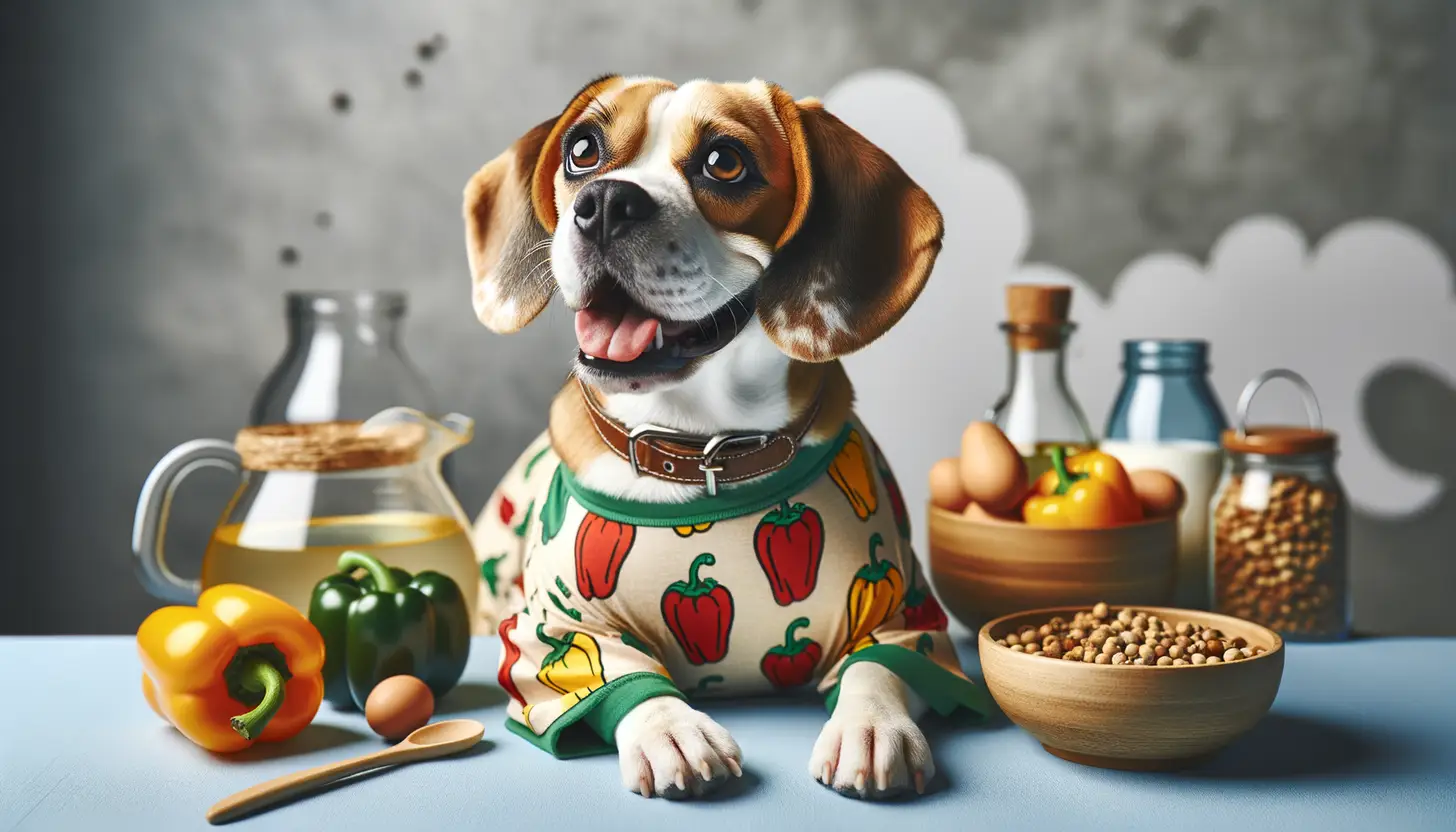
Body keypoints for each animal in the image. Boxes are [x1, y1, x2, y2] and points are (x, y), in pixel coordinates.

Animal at [463, 76, 990, 798]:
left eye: (724, 162)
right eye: (582, 150)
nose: (605, 203)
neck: (703, 452)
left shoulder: (904, 610)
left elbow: (881, 664)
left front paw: (872, 726)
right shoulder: (553, 634)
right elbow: (617, 673)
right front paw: (671, 730)